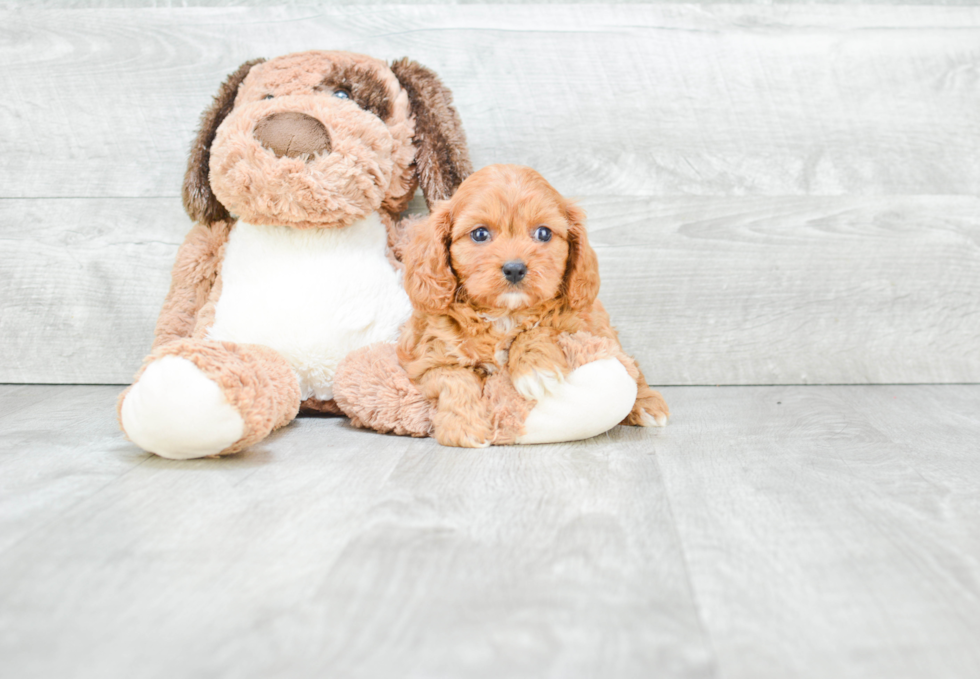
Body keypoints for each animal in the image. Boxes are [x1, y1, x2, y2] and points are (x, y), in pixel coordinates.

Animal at [396, 164, 668, 448]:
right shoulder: (423, 360)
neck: (505, 314)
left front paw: (535, 370)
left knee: (631, 366)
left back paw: (647, 405)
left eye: (543, 233)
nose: (515, 268)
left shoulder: (579, 326)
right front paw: (463, 426)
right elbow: (455, 377)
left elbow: (540, 328)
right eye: (480, 234)